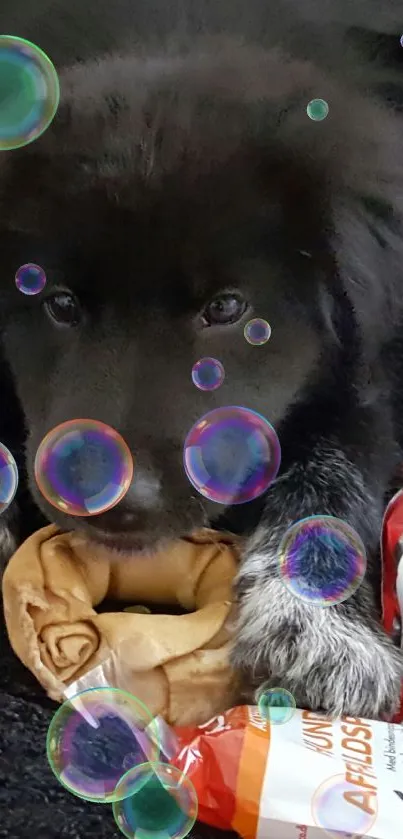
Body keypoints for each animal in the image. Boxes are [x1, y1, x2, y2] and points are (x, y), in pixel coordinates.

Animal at [0, 1, 403, 720]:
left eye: (227, 307)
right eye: (58, 301)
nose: (113, 501)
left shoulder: (362, 372)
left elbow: (338, 470)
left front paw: (316, 628)